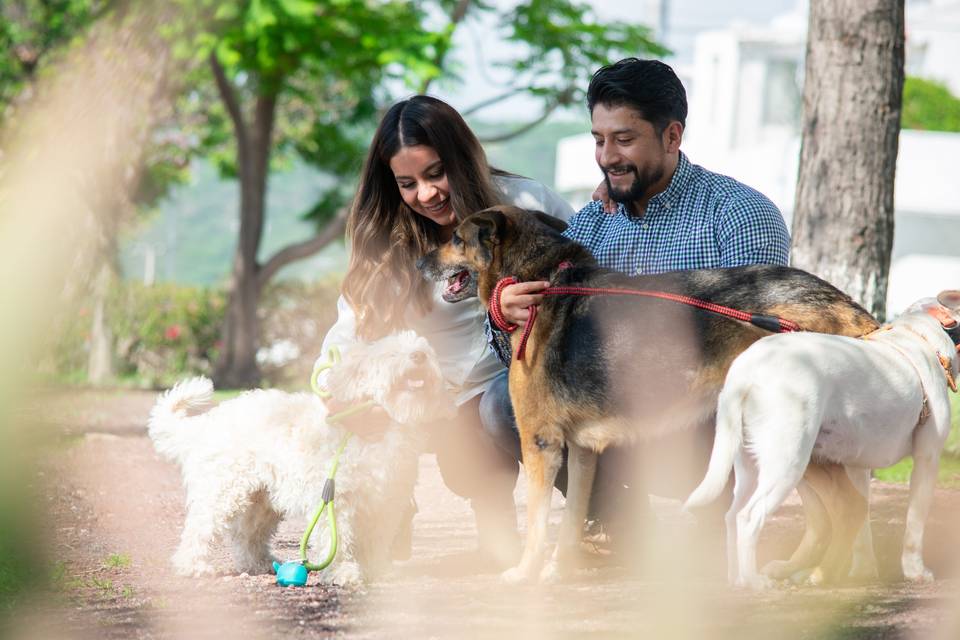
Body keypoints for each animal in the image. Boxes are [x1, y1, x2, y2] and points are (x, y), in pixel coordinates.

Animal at [147, 332, 454, 588]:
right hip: (223, 494)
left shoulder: (384, 503)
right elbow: (337, 542)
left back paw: (259, 564)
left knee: (245, 536)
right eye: (391, 354)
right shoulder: (336, 502)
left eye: (425, 350)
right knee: (199, 531)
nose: (419, 356)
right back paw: (193, 567)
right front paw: (343, 573)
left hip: (262, 502)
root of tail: (207, 423)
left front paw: (377, 571)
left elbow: (376, 542)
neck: (380, 428)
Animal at [416, 208, 880, 584]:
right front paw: (559, 571)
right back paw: (799, 569)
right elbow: (570, 520)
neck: (541, 281)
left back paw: (823, 577)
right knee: (825, 514)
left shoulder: (541, 442)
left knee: (849, 506)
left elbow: (537, 522)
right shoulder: (582, 450)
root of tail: (843, 304)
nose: (420, 261)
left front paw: (527, 573)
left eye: (456, 238)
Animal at [688, 292, 956, 588]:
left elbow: (860, 521)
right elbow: (914, 523)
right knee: (749, 518)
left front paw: (862, 571)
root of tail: (746, 371)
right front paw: (915, 571)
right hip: (788, 463)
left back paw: (738, 580)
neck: (918, 335)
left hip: (750, 464)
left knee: (733, 515)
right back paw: (755, 582)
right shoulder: (927, 459)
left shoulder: (857, 467)